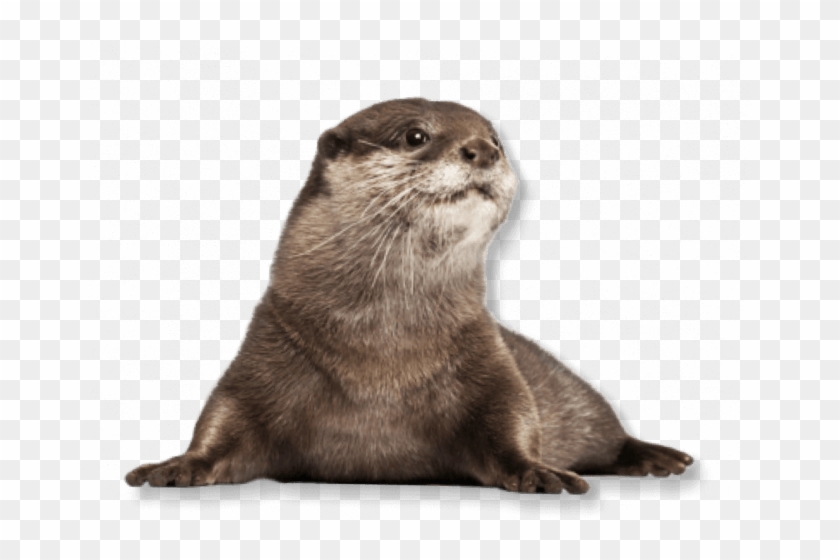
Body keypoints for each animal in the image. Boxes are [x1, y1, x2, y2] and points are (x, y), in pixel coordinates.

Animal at [126, 98, 693, 493]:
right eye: (415, 135)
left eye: (496, 138)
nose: (483, 150)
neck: (381, 358)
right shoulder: (266, 350)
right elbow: (222, 420)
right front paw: (177, 465)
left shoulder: (490, 359)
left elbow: (514, 418)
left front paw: (538, 470)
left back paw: (658, 458)